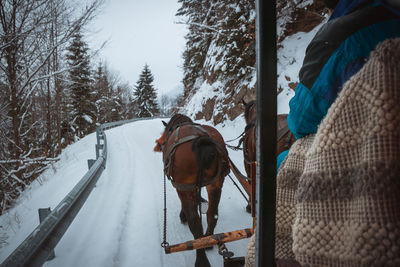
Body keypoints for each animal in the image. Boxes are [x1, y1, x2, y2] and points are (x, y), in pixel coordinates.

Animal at [152, 113, 228, 267]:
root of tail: (201, 141)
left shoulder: (183, 187)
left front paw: (183, 215)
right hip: (216, 183)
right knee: (212, 214)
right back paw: (208, 239)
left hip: (185, 186)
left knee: (195, 222)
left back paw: (201, 259)